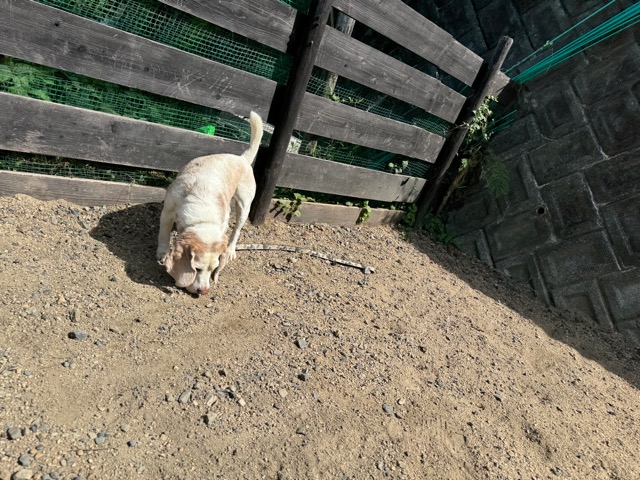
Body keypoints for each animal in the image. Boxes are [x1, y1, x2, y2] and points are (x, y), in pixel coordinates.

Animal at [156, 111, 263, 295]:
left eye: (213, 269)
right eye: (197, 269)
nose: (204, 291)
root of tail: (242, 159)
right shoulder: (167, 212)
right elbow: (163, 235)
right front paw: (162, 254)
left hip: (244, 205)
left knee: (237, 230)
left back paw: (231, 250)